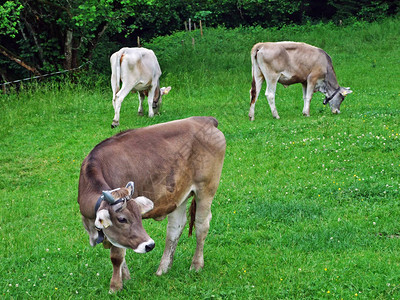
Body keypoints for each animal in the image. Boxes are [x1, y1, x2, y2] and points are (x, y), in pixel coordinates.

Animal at [77, 116, 227, 292]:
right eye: (122, 219)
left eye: (139, 217)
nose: (149, 245)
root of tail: (205, 119)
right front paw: (126, 278)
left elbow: (117, 256)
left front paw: (115, 287)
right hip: (179, 195)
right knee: (175, 228)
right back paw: (163, 269)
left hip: (206, 189)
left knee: (202, 226)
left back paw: (196, 265)